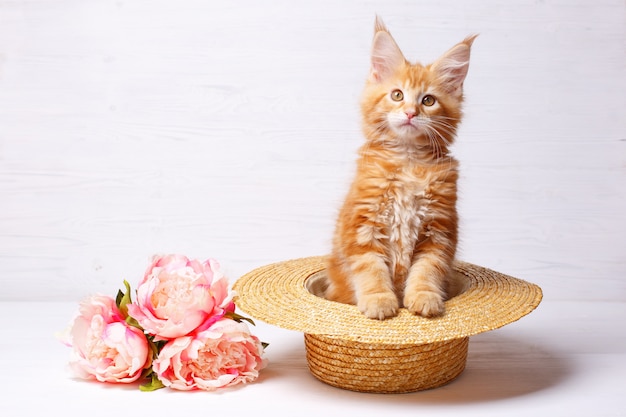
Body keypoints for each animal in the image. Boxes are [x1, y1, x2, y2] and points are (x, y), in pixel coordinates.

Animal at [324, 17, 476, 318]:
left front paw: (424, 298)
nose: (410, 113)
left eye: (428, 100)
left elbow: (427, 270)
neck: (408, 163)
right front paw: (379, 301)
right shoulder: (362, 225)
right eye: (397, 95)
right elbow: (370, 268)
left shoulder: (438, 230)